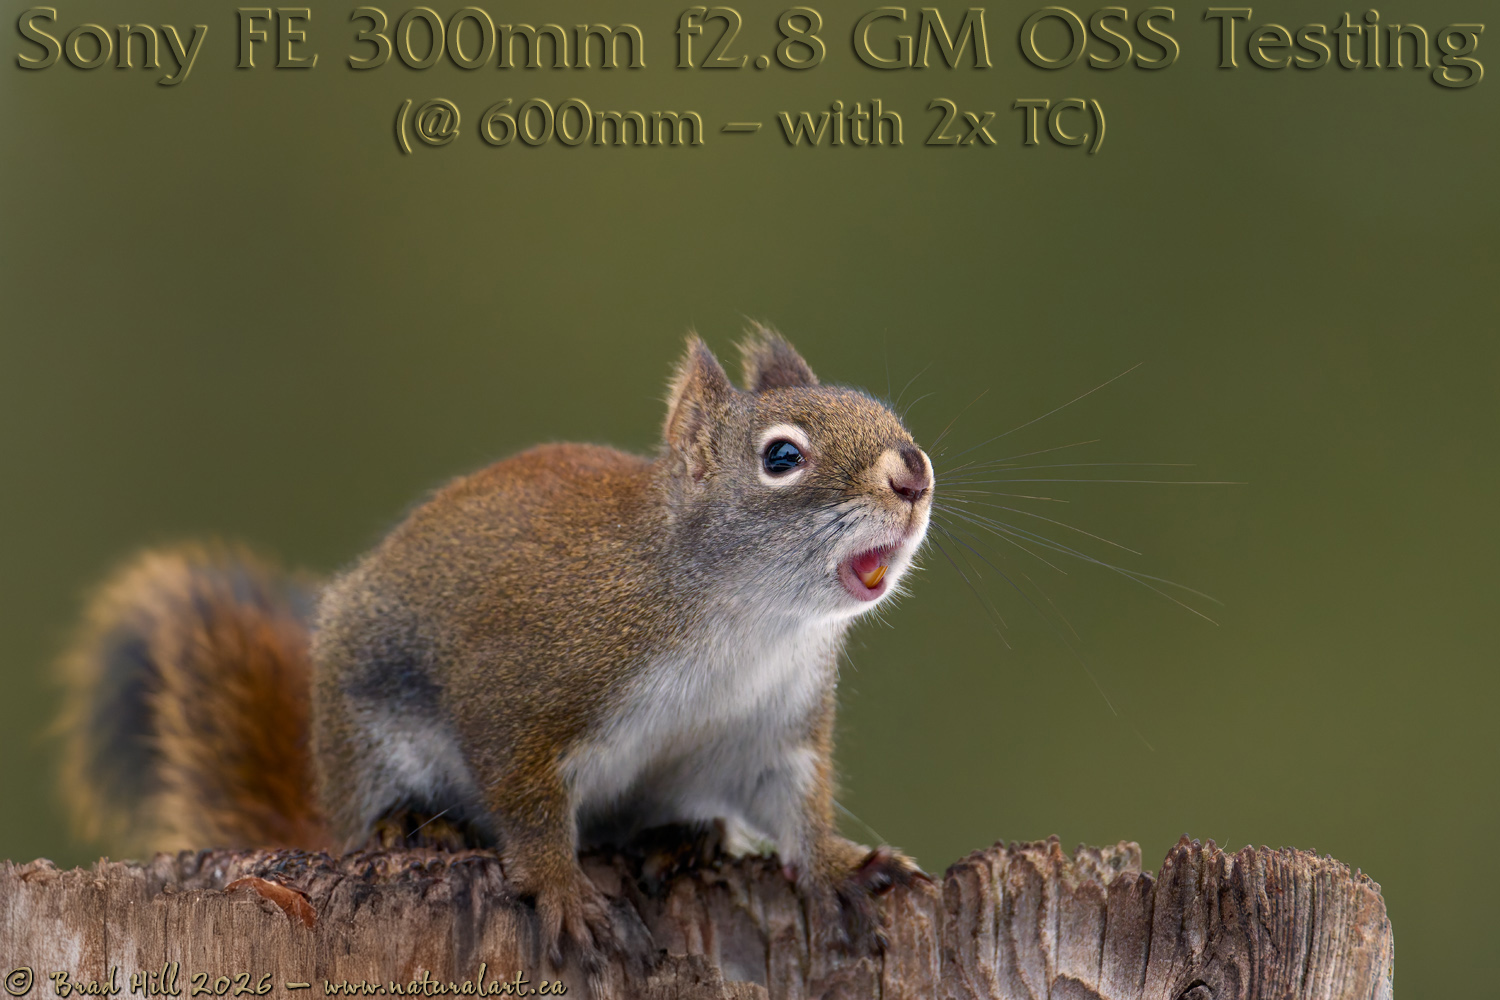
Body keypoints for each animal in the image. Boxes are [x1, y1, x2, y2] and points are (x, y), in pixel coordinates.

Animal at [56, 327, 935, 968]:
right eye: (781, 457)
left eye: (885, 414)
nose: (914, 472)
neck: (747, 620)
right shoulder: (524, 686)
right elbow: (526, 797)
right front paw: (559, 888)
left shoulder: (769, 730)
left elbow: (794, 805)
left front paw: (837, 864)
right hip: (369, 739)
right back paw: (416, 826)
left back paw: (682, 838)